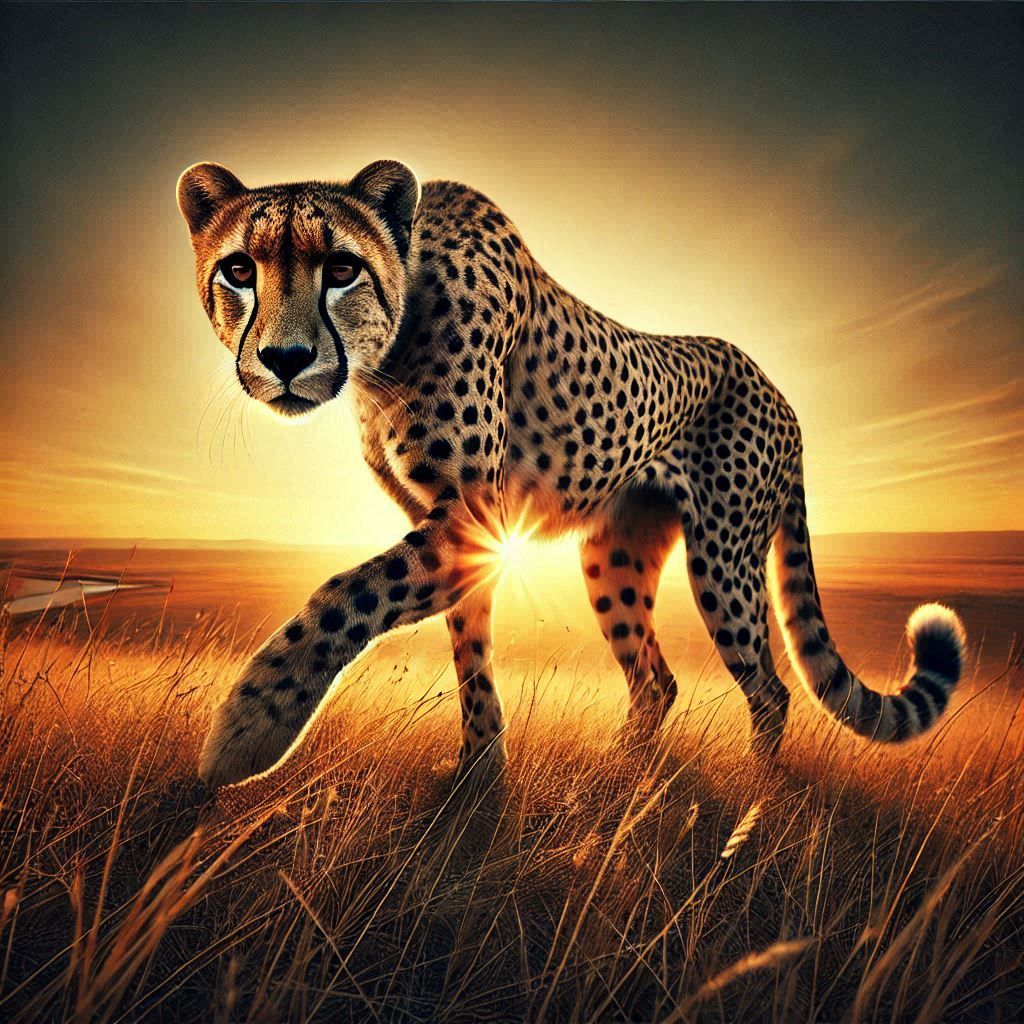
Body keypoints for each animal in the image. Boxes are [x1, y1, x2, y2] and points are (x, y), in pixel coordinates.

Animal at [177, 159, 967, 790]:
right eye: (239, 270)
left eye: (342, 269)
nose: (285, 359)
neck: (388, 352)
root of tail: (779, 390)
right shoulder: (455, 530)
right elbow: (468, 646)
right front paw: (479, 770)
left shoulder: (472, 514)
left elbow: (346, 594)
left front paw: (248, 727)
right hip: (614, 556)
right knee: (656, 680)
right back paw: (622, 771)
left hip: (723, 560)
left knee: (770, 690)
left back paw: (758, 793)